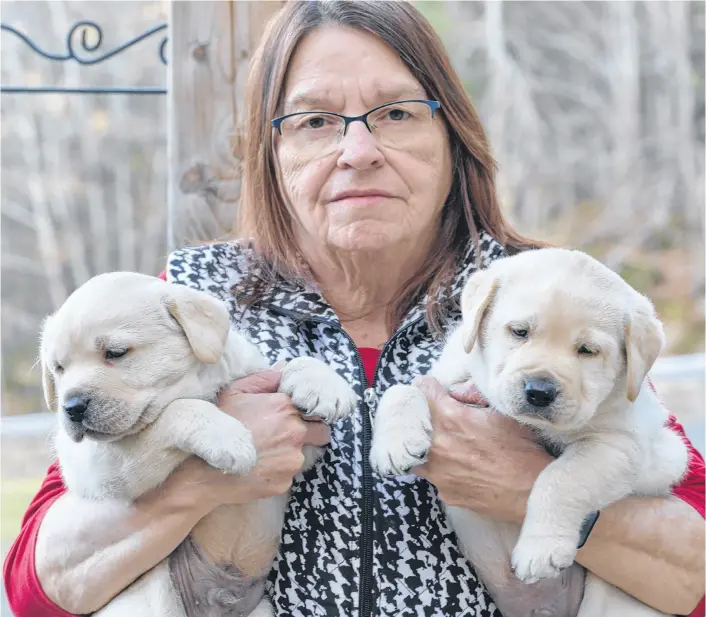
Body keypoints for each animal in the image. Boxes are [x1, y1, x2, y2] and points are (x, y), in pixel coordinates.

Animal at [38, 274, 354, 616]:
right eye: (58, 368)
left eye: (116, 352)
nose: (71, 407)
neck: (202, 385)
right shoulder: (102, 466)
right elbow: (177, 410)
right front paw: (228, 437)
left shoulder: (303, 444)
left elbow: (290, 364)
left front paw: (323, 385)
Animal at [372, 247, 684, 616]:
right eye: (519, 331)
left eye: (587, 350)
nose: (539, 391)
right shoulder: (448, 379)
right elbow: (403, 389)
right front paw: (395, 443)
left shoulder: (625, 445)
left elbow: (561, 478)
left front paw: (540, 550)